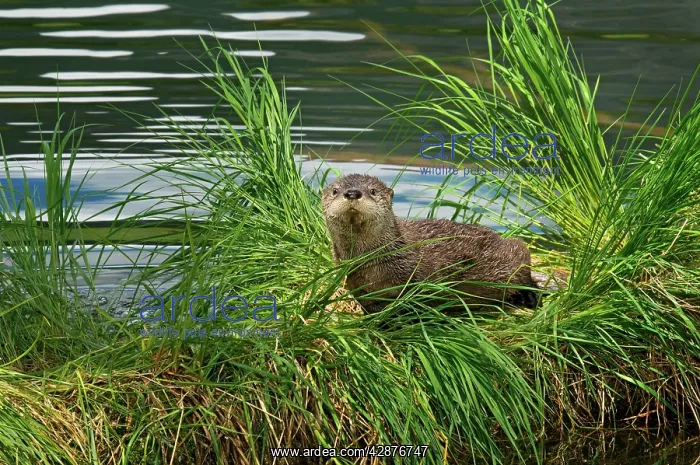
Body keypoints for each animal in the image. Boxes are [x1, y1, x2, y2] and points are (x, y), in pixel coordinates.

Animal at [321, 174, 539, 313]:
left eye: (373, 191)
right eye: (335, 191)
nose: (352, 193)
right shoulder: (355, 283)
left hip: (513, 255)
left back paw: (528, 296)